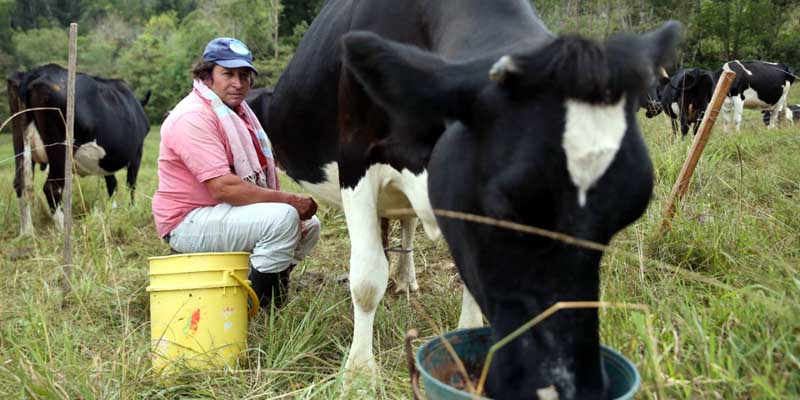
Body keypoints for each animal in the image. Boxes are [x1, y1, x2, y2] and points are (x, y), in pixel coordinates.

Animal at [8, 63, 152, 234]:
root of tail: (37, 72)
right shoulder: (137, 152)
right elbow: (131, 184)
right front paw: (131, 210)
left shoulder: (106, 160)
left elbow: (112, 183)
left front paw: (112, 211)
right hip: (60, 150)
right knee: (52, 187)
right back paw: (65, 229)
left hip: (20, 143)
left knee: (20, 183)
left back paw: (27, 233)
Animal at [268, 1, 676, 398]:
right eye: (507, 205)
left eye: (629, 212)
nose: (572, 384)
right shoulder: (356, 161)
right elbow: (367, 279)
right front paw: (359, 374)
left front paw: (466, 330)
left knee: (405, 223)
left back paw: (406, 278)